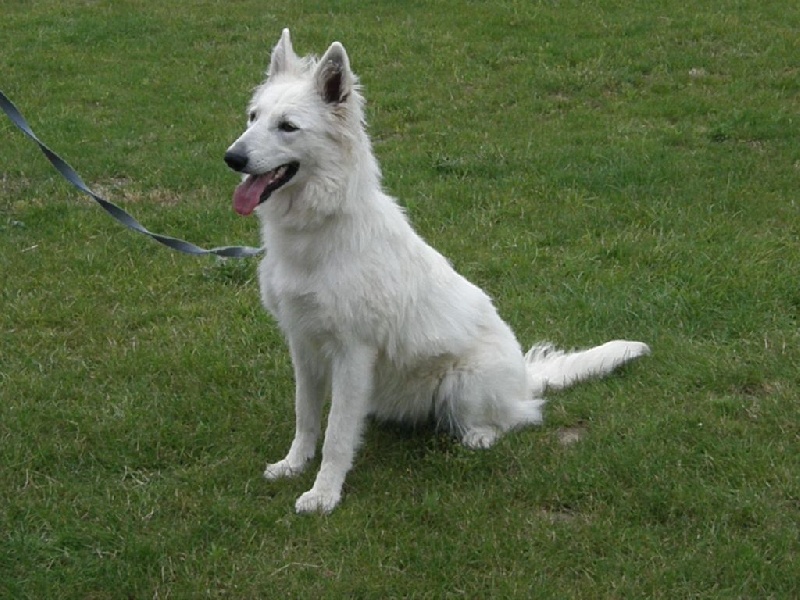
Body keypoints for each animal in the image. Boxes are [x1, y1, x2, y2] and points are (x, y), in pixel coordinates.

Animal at [224, 29, 649, 514]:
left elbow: (336, 435)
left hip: (462, 383)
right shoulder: (304, 347)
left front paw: (324, 493)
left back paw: (481, 434)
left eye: (288, 126)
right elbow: (307, 418)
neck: (317, 231)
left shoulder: (352, 353)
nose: (231, 157)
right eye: (253, 117)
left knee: (521, 416)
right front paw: (294, 466)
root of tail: (524, 377)